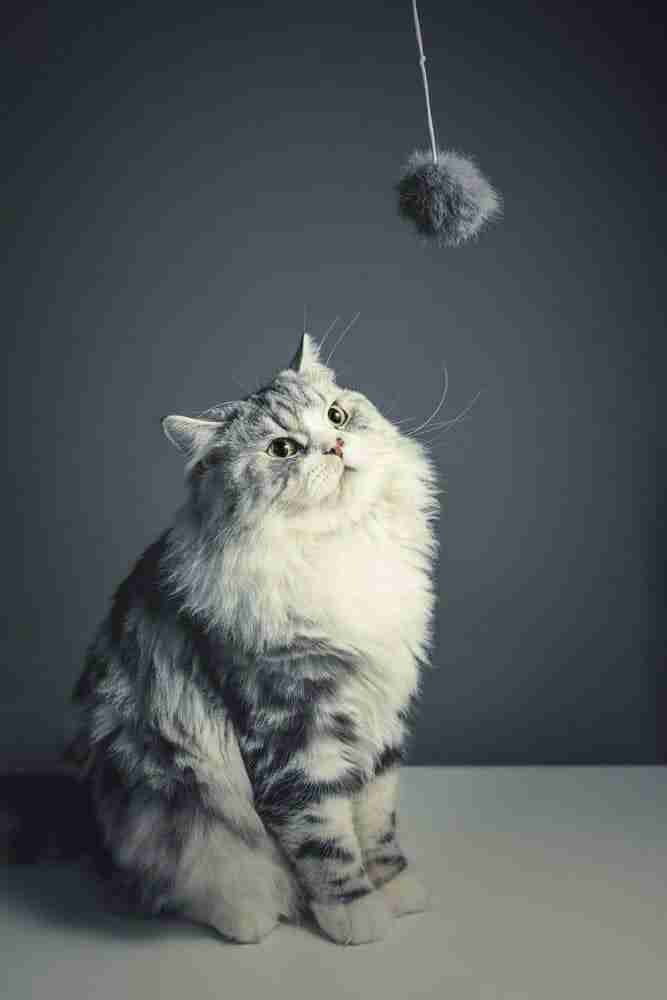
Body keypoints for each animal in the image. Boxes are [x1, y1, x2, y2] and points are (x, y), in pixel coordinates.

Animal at [27, 330, 438, 944]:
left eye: (336, 415)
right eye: (283, 449)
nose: (335, 446)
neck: (336, 548)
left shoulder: (380, 712)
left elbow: (375, 816)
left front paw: (396, 888)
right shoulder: (293, 727)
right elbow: (326, 835)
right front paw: (355, 913)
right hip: (180, 808)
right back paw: (250, 920)